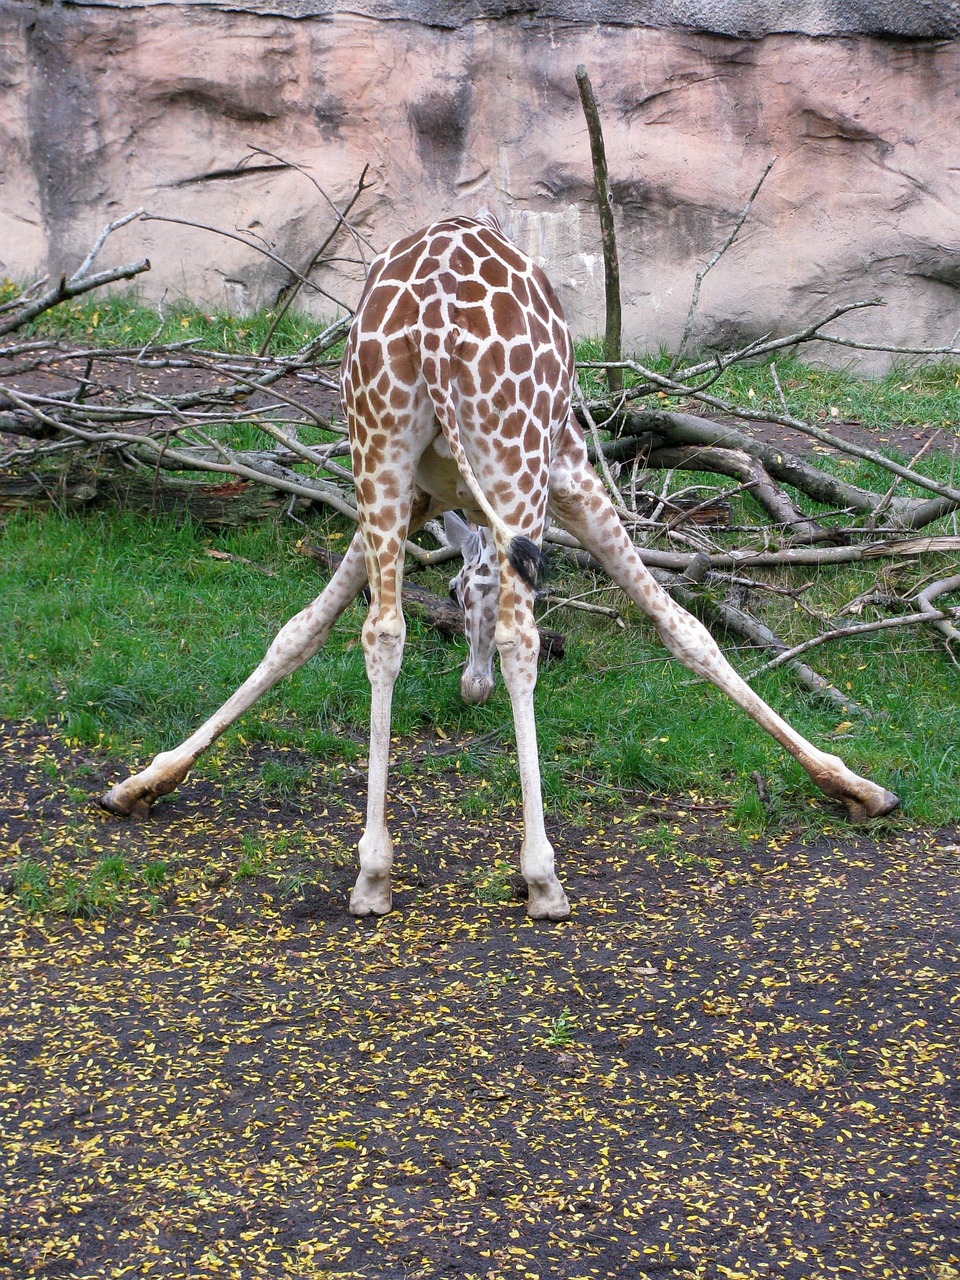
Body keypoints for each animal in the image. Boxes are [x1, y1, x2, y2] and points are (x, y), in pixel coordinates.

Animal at [101, 215, 901, 916]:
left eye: (458, 590)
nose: (470, 687)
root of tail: (431, 318)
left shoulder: (415, 498)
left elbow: (298, 631)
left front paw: (143, 782)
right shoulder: (569, 474)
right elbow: (685, 629)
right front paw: (862, 788)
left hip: (376, 450)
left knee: (382, 631)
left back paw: (373, 874)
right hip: (516, 461)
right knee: (522, 640)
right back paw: (542, 877)